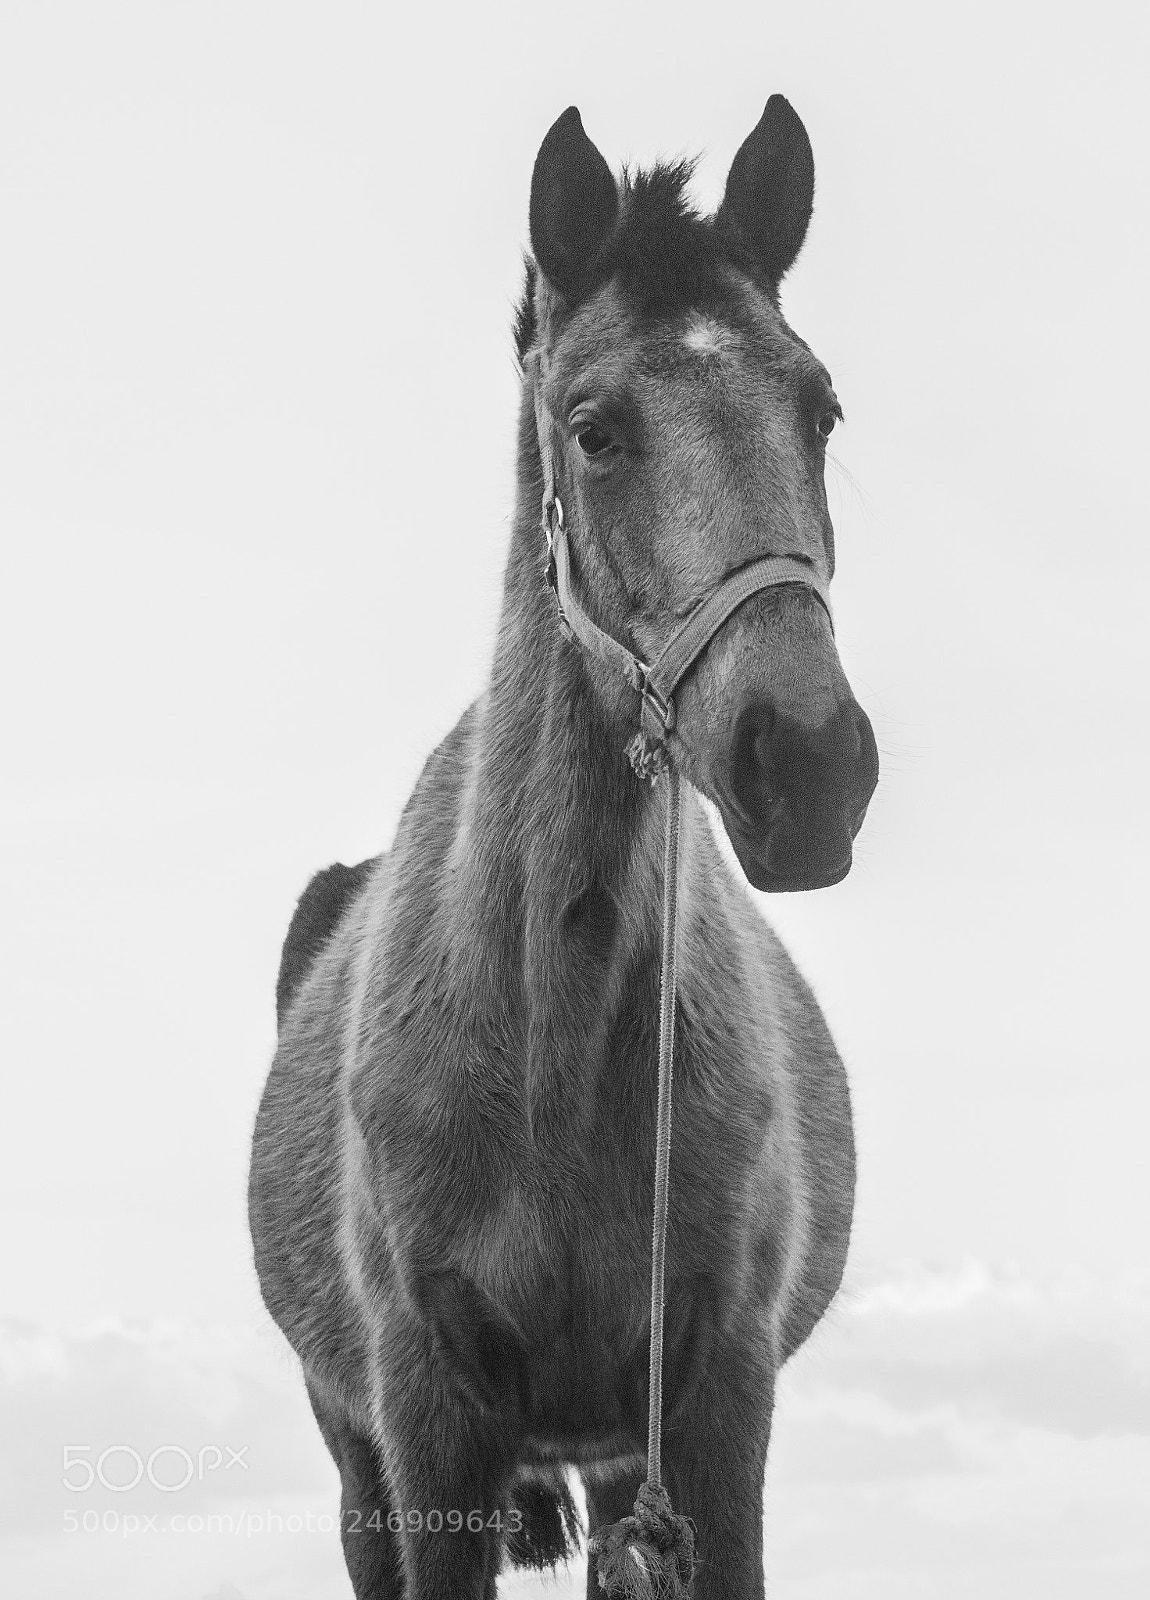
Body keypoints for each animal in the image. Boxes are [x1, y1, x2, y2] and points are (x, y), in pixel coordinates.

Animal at [249, 95, 879, 1600]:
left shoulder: (711, 1403)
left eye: (818, 409)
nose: (808, 768)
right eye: (593, 430)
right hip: (360, 1456)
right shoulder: (426, 1426)